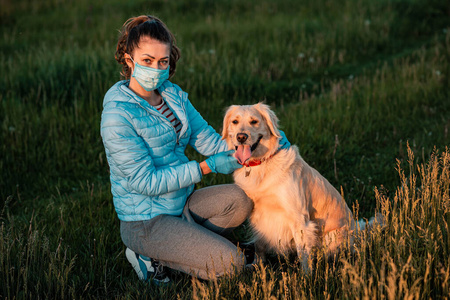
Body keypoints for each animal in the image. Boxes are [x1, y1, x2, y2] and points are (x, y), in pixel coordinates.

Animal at [221, 102, 384, 270]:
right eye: (235, 122)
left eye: (254, 121)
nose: (241, 137)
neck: (262, 163)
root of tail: (357, 231)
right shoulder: (259, 215)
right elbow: (259, 244)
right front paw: (257, 265)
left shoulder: (299, 218)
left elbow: (304, 254)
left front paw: (306, 276)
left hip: (333, 235)